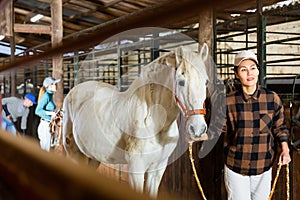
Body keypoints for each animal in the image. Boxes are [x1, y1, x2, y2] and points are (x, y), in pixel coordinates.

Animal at [62, 44, 210, 198]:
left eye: (206, 81)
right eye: (181, 82)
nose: (198, 129)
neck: (154, 121)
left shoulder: (158, 167)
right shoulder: (136, 168)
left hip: (94, 156)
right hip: (73, 152)